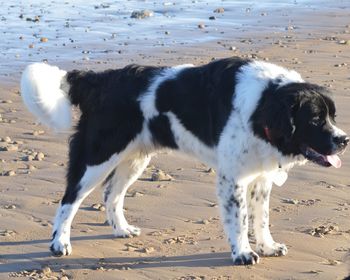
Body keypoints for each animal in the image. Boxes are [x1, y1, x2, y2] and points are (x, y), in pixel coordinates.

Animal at [20, 57, 348, 264]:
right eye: (315, 119)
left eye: (332, 116)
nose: (344, 140)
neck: (263, 104)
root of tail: (100, 80)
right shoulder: (233, 179)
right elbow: (240, 221)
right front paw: (242, 253)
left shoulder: (260, 177)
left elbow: (261, 218)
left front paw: (267, 247)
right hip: (97, 156)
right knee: (69, 199)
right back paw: (59, 243)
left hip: (134, 158)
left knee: (111, 195)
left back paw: (121, 229)